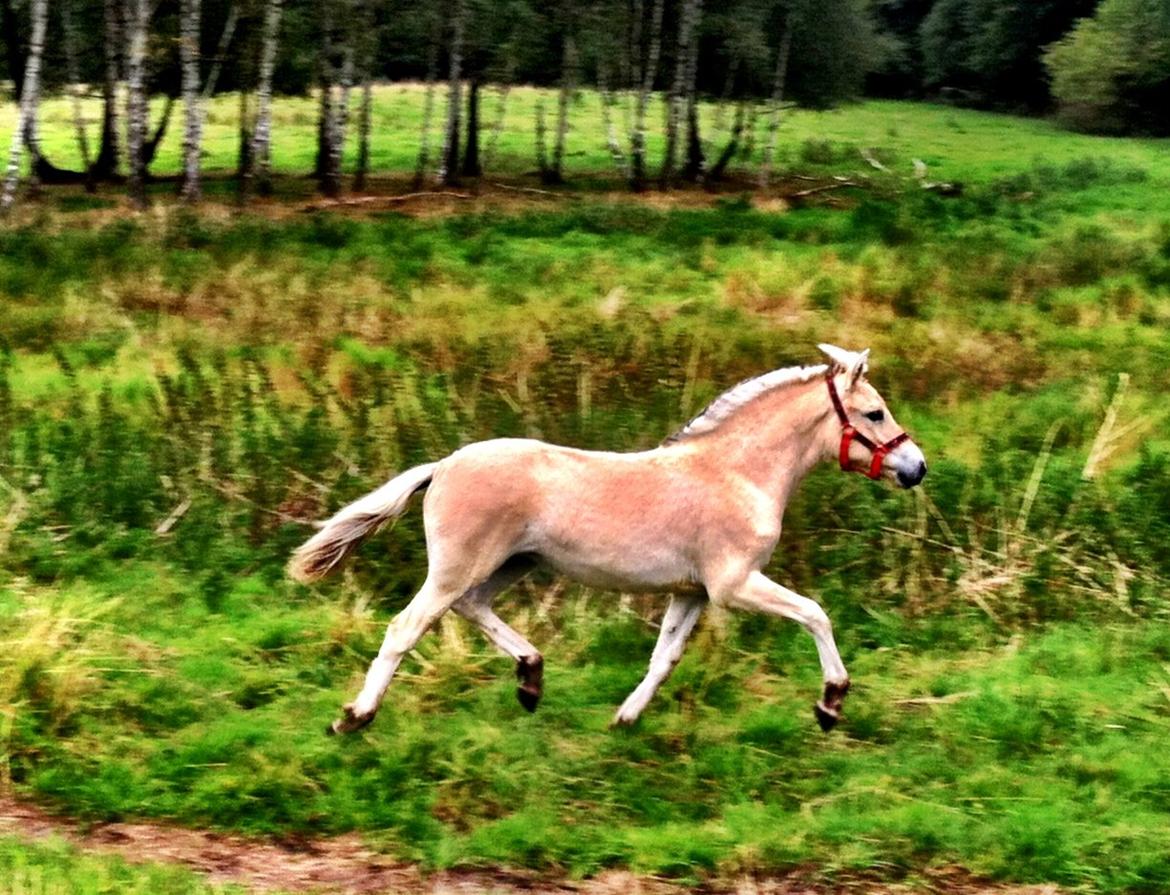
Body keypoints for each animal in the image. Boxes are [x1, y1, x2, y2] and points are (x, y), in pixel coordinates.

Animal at [290, 341, 921, 734]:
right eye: (875, 413)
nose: (917, 468)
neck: (737, 473)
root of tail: (443, 464)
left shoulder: (691, 592)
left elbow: (664, 658)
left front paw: (624, 719)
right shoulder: (733, 584)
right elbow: (816, 614)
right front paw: (830, 705)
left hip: (512, 564)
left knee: (472, 608)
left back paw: (531, 679)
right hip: (458, 566)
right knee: (406, 627)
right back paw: (354, 718)